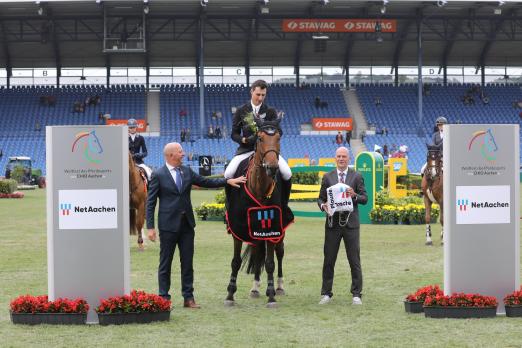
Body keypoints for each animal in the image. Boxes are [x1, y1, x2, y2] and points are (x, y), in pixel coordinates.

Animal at [223, 117, 288, 308]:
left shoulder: (273, 228)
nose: (272, 167)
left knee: (279, 252)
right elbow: (236, 261)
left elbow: (270, 262)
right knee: (258, 252)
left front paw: (272, 296)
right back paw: (255, 288)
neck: (258, 186)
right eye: (259, 138)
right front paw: (230, 295)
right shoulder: (237, 228)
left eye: (279, 137)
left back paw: (278, 287)